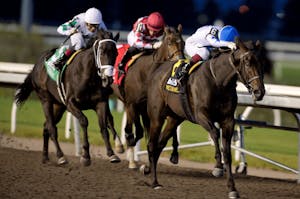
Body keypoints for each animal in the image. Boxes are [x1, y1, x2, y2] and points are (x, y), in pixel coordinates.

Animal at [14, 29, 120, 166]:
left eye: (116, 53)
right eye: (101, 52)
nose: (108, 79)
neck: (88, 75)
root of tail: (35, 66)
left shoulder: (100, 102)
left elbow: (103, 126)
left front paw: (112, 154)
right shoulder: (71, 103)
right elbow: (84, 121)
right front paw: (85, 156)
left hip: (58, 106)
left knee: (46, 126)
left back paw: (45, 157)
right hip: (45, 99)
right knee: (51, 127)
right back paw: (61, 157)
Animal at [111, 24, 184, 168]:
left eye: (183, 43)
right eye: (169, 42)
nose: (180, 61)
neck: (148, 73)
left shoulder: (149, 108)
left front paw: (173, 155)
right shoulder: (133, 104)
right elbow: (137, 132)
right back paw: (122, 149)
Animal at [142, 37, 264, 197]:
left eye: (261, 63)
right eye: (248, 63)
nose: (259, 92)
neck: (219, 82)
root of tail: (158, 70)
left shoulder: (228, 120)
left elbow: (227, 153)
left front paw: (232, 188)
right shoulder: (201, 115)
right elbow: (214, 133)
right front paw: (218, 167)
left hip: (175, 118)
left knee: (160, 144)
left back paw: (149, 170)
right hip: (157, 116)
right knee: (151, 144)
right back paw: (154, 182)